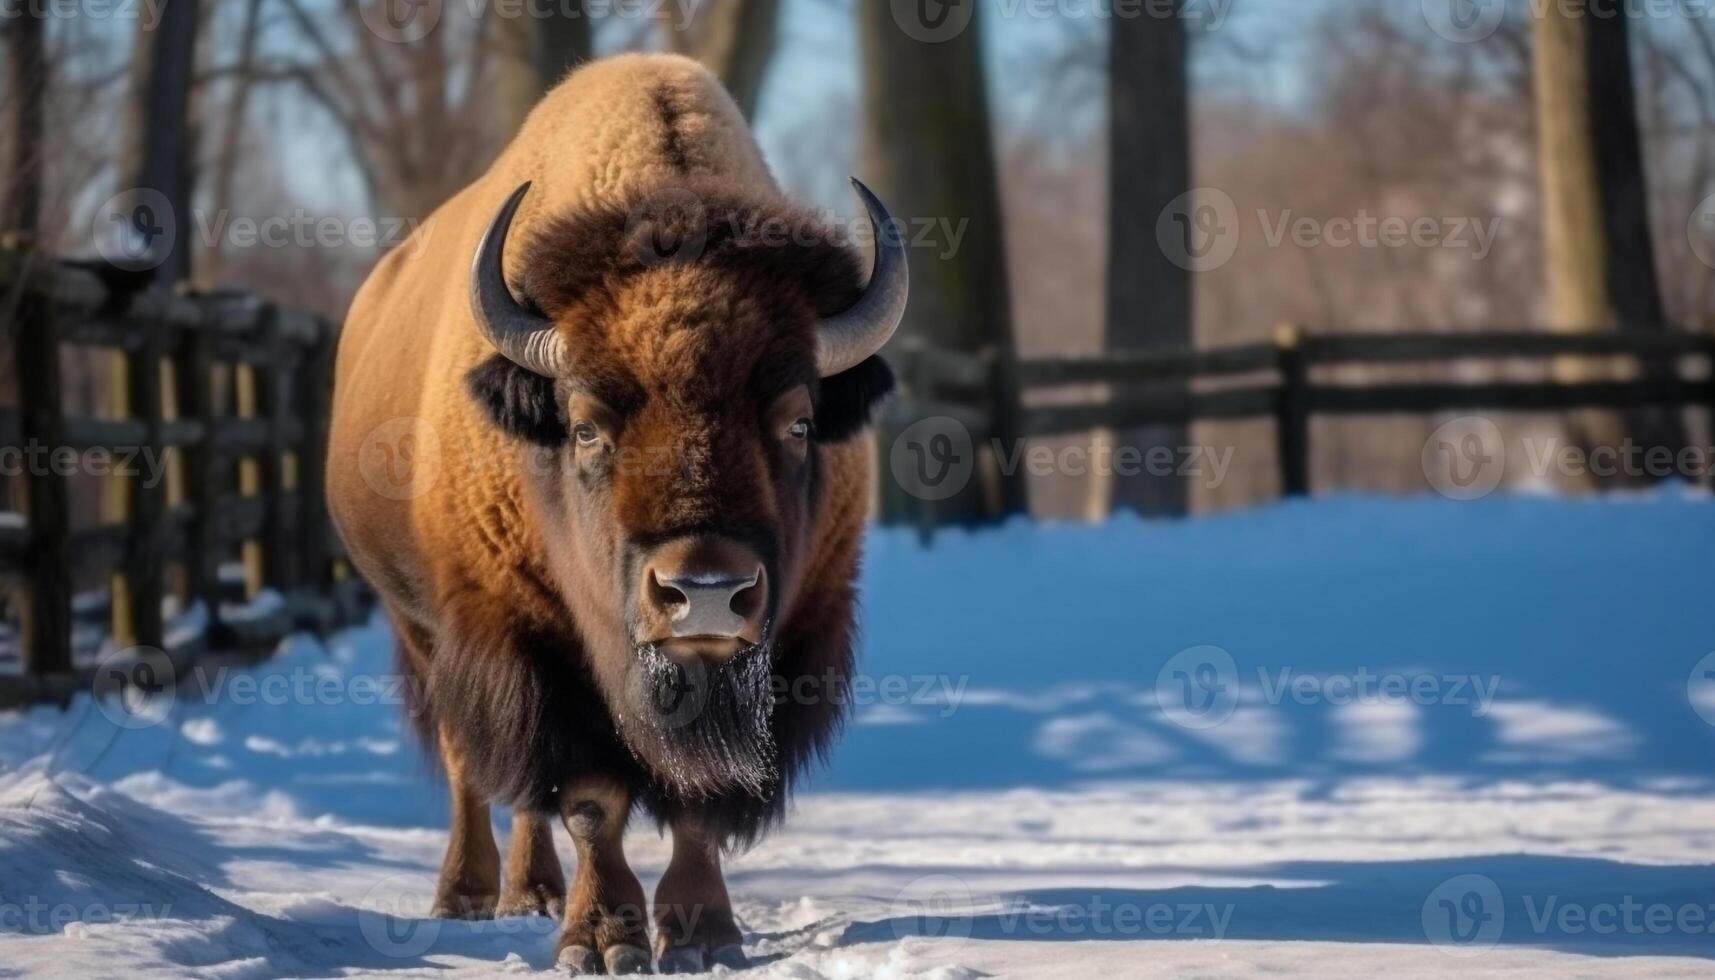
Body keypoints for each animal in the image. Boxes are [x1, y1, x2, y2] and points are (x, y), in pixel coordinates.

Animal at [325, 53, 905, 974]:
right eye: (587, 424)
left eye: (797, 421)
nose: (704, 593)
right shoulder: (526, 639)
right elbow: (591, 798)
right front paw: (601, 940)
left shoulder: (785, 645)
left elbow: (700, 796)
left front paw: (704, 933)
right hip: (422, 628)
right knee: (472, 765)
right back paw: (470, 895)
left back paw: (532, 892)